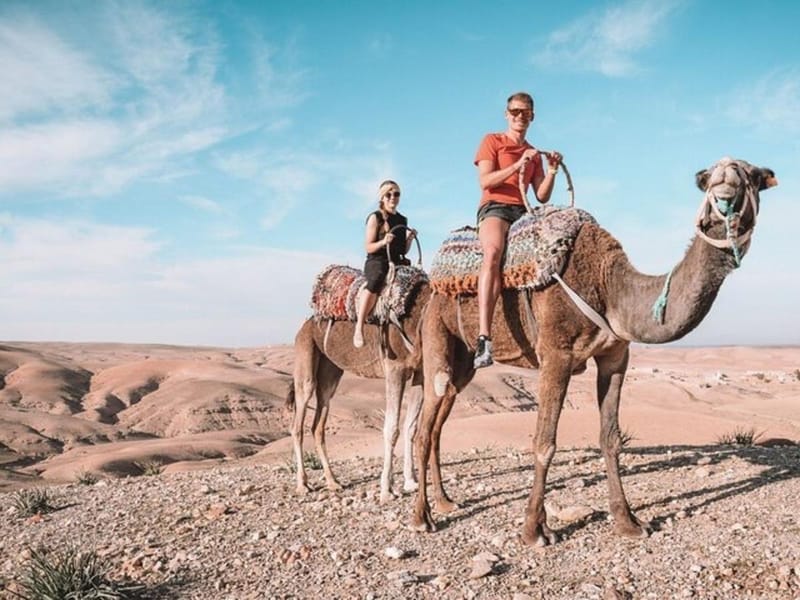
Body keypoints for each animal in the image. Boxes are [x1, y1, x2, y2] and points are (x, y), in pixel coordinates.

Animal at [288, 279, 431, 504]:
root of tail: (305, 325)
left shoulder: (419, 373)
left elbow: (411, 427)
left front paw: (411, 482)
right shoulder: (395, 368)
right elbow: (392, 428)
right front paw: (387, 491)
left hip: (330, 371)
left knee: (318, 422)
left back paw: (333, 482)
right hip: (305, 354)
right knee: (298, 422)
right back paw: (302, 485)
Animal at [411, 157, 777, 545]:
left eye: (753, 175)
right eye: (707, 178)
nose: (726, 178)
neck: (609, 286)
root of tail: (433, 288)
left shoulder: (615, 356)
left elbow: (611, 439)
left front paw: (628, 521)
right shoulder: (556, 354)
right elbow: (545, 442)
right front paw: (534, 530)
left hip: (464, 363)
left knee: (439, 423)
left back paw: (445, 502)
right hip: (436, 336)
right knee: (424, 427)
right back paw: (422, 517)